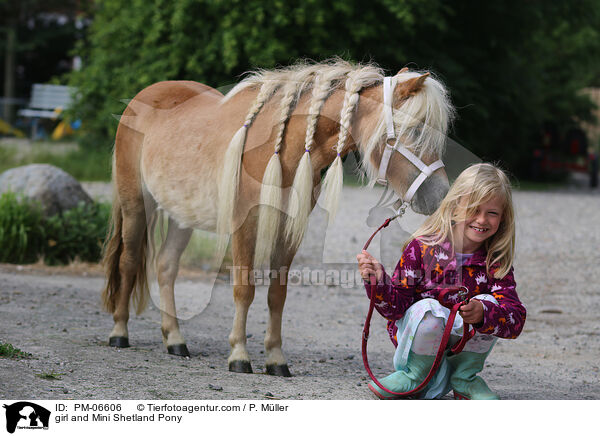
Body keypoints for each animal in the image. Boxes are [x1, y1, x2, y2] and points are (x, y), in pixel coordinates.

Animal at [101, 59, 452, 376]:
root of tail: (143, 97)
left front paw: (275, 359)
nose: (440, 195)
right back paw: (119, 333)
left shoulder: (286, 230)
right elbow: (245, 289)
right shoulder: (244, 225)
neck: (284, 144)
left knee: (165, 267)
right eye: (416, 129)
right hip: (136, 206)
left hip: (181, 217)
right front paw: (239, 355)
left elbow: (276, 294)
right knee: (129, 262)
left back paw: (174, 340)